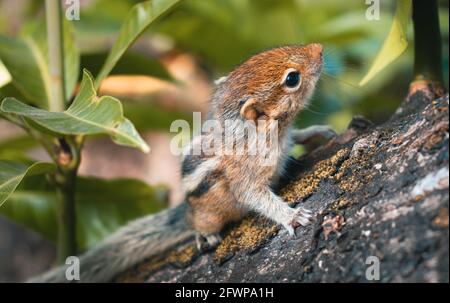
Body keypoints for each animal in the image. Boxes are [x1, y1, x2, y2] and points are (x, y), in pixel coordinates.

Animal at [30, 44, 334, 284]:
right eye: (292, 78)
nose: (319, 48)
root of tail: (186, 208)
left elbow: (298, 135)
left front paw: (319, 132)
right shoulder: (244, 174)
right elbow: (256, 197)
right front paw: (291, 216)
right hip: (207, 215)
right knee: (197, 224)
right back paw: (203, 236)